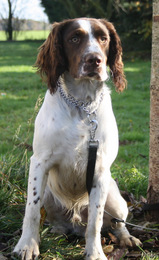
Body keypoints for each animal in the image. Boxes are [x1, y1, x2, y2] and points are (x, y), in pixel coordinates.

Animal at [13, 17, 140, 258]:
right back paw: (57, 230)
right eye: (74, 38)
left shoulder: (100, 170)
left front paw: (95, 253)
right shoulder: (39, 162)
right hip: (49, 193)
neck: (82, 105)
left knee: (117, 222)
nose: (95, 60)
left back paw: (126, 238)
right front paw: (27, 245)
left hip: (114, 196)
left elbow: (95, 222)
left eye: (103, 38)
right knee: (52, 218)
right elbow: (31, 210)